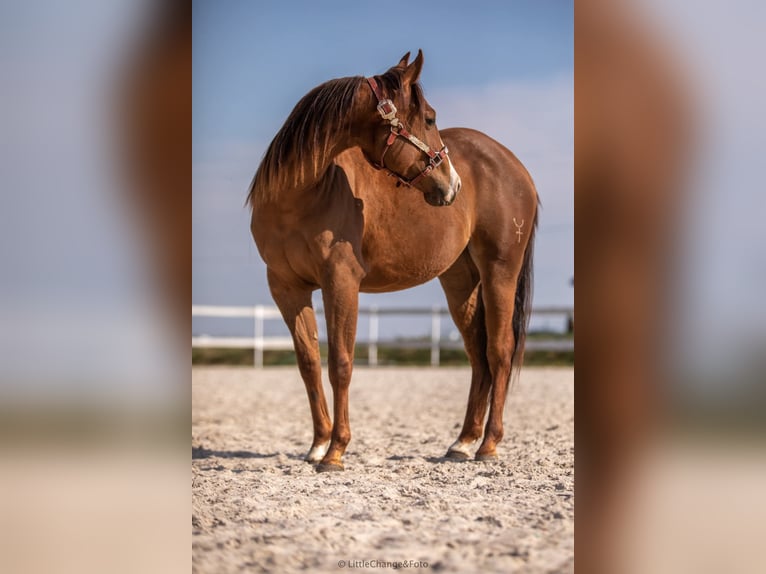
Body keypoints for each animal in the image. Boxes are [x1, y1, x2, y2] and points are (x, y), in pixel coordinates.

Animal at [248, 50, 538, 472]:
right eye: (430, 118)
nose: (452, 185)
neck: (301, 197)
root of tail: (516, 167)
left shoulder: (341, 281)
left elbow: (341, 363)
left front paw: (335, 451)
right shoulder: (286, 288)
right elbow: (308, 363)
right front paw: (317, 445)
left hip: (500, 271)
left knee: (500, 350)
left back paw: (488, 445)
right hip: (460, 281)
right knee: (478, 355)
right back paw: (462, 442)